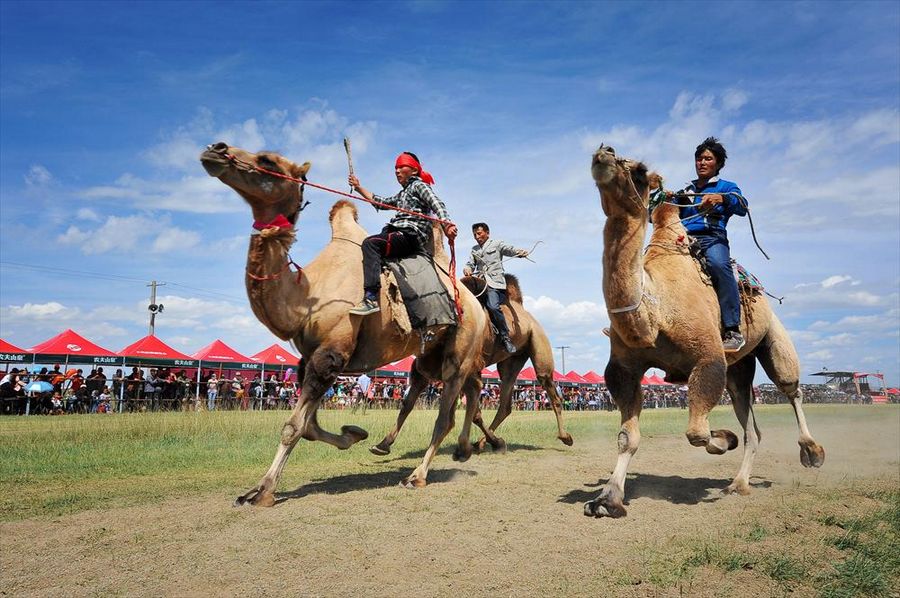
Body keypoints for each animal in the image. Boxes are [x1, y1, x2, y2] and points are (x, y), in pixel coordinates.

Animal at [200, 143, 492, 504]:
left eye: (268, 160)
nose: (216, 149)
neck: (306, 297)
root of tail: (475, 304)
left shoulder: (331, 355)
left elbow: (293, 427)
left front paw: (264, 491)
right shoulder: (310, 358)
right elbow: (309, 427)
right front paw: (353, 433)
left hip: (458, 353)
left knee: (445, 416)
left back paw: (418, 476)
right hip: (430, 355)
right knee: (467, 389)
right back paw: (460, 450)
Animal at [372, 274, 576, 458]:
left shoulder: (467, 371)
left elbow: (473, 413)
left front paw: (493, 443)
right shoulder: (424, 371)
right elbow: (408, 404)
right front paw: (383, 444)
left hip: (539, 344)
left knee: (550, 389)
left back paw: (565, 437)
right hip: (511, 361)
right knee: (505, 403)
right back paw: (482, 443)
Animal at [588, 145, 828, 520]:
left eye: (639, 170)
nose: (604, 153)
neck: (655, 308)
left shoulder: (708, 357)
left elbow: (697, 433)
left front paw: (723, 437)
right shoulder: (623, 368)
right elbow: (627, 437)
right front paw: (607, 500)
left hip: (772, 338)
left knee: (791, 388)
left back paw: (811, 452)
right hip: (739, 369)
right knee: (752, 425)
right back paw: (738, 484)